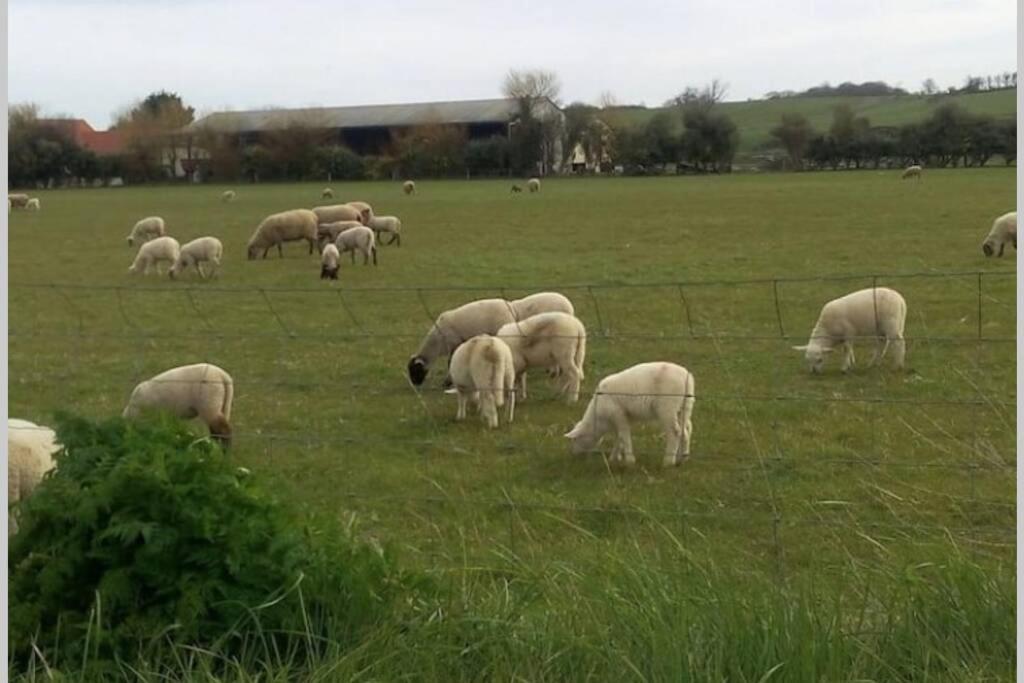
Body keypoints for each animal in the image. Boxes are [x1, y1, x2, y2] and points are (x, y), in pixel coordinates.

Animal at [561, 362, 696, 471]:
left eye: (575, 439)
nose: (573, 455)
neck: (599, 418)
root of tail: (686, 377)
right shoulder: (625, 417)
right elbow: (619, 438)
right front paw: (613, 458)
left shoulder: (618, 414)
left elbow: (624, 436)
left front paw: (629, 460)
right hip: (685, 406)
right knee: (686, 430)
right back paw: (683, 458)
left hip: (667, 407)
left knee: (675, 432)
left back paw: (668, 462)